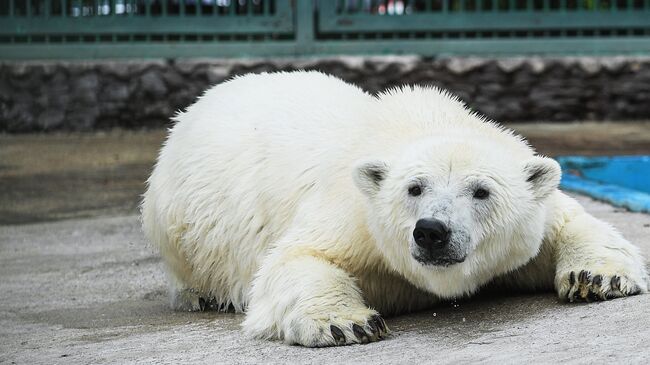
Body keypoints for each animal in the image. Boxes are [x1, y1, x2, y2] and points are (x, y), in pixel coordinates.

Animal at [140, 70, 644, 346]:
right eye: (414, 188)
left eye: (481, 191)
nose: (432, 231)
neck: (418, 122)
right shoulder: (354, 216)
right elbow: (296, 259)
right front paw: (348, 324)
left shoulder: (530, 228)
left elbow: (573, 225)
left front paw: (596, 278)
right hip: (177, 215)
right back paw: (201, 295)